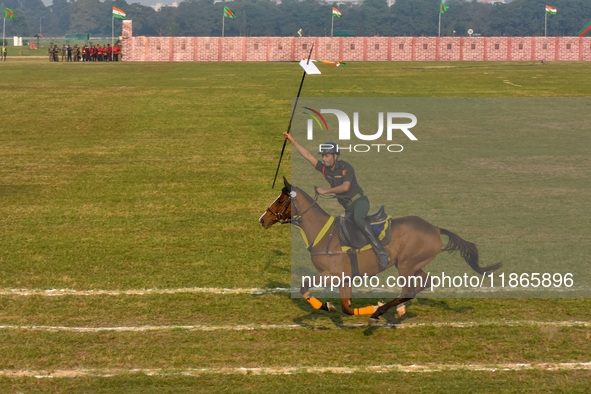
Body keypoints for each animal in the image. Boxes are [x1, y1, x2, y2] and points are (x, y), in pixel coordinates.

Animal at [262, 178, 502, 324]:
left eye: (281, 200)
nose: (262, 219)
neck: (323, 233)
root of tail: (434, 228)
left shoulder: (332, 274)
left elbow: (306, 288)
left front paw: (329, 306)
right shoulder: (345, 278)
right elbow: (346, 307)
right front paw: (334, 306)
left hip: (406, 264)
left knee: (409, 290)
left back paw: (381, 311)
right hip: (411, 264)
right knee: (424, 283)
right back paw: (396, 309)